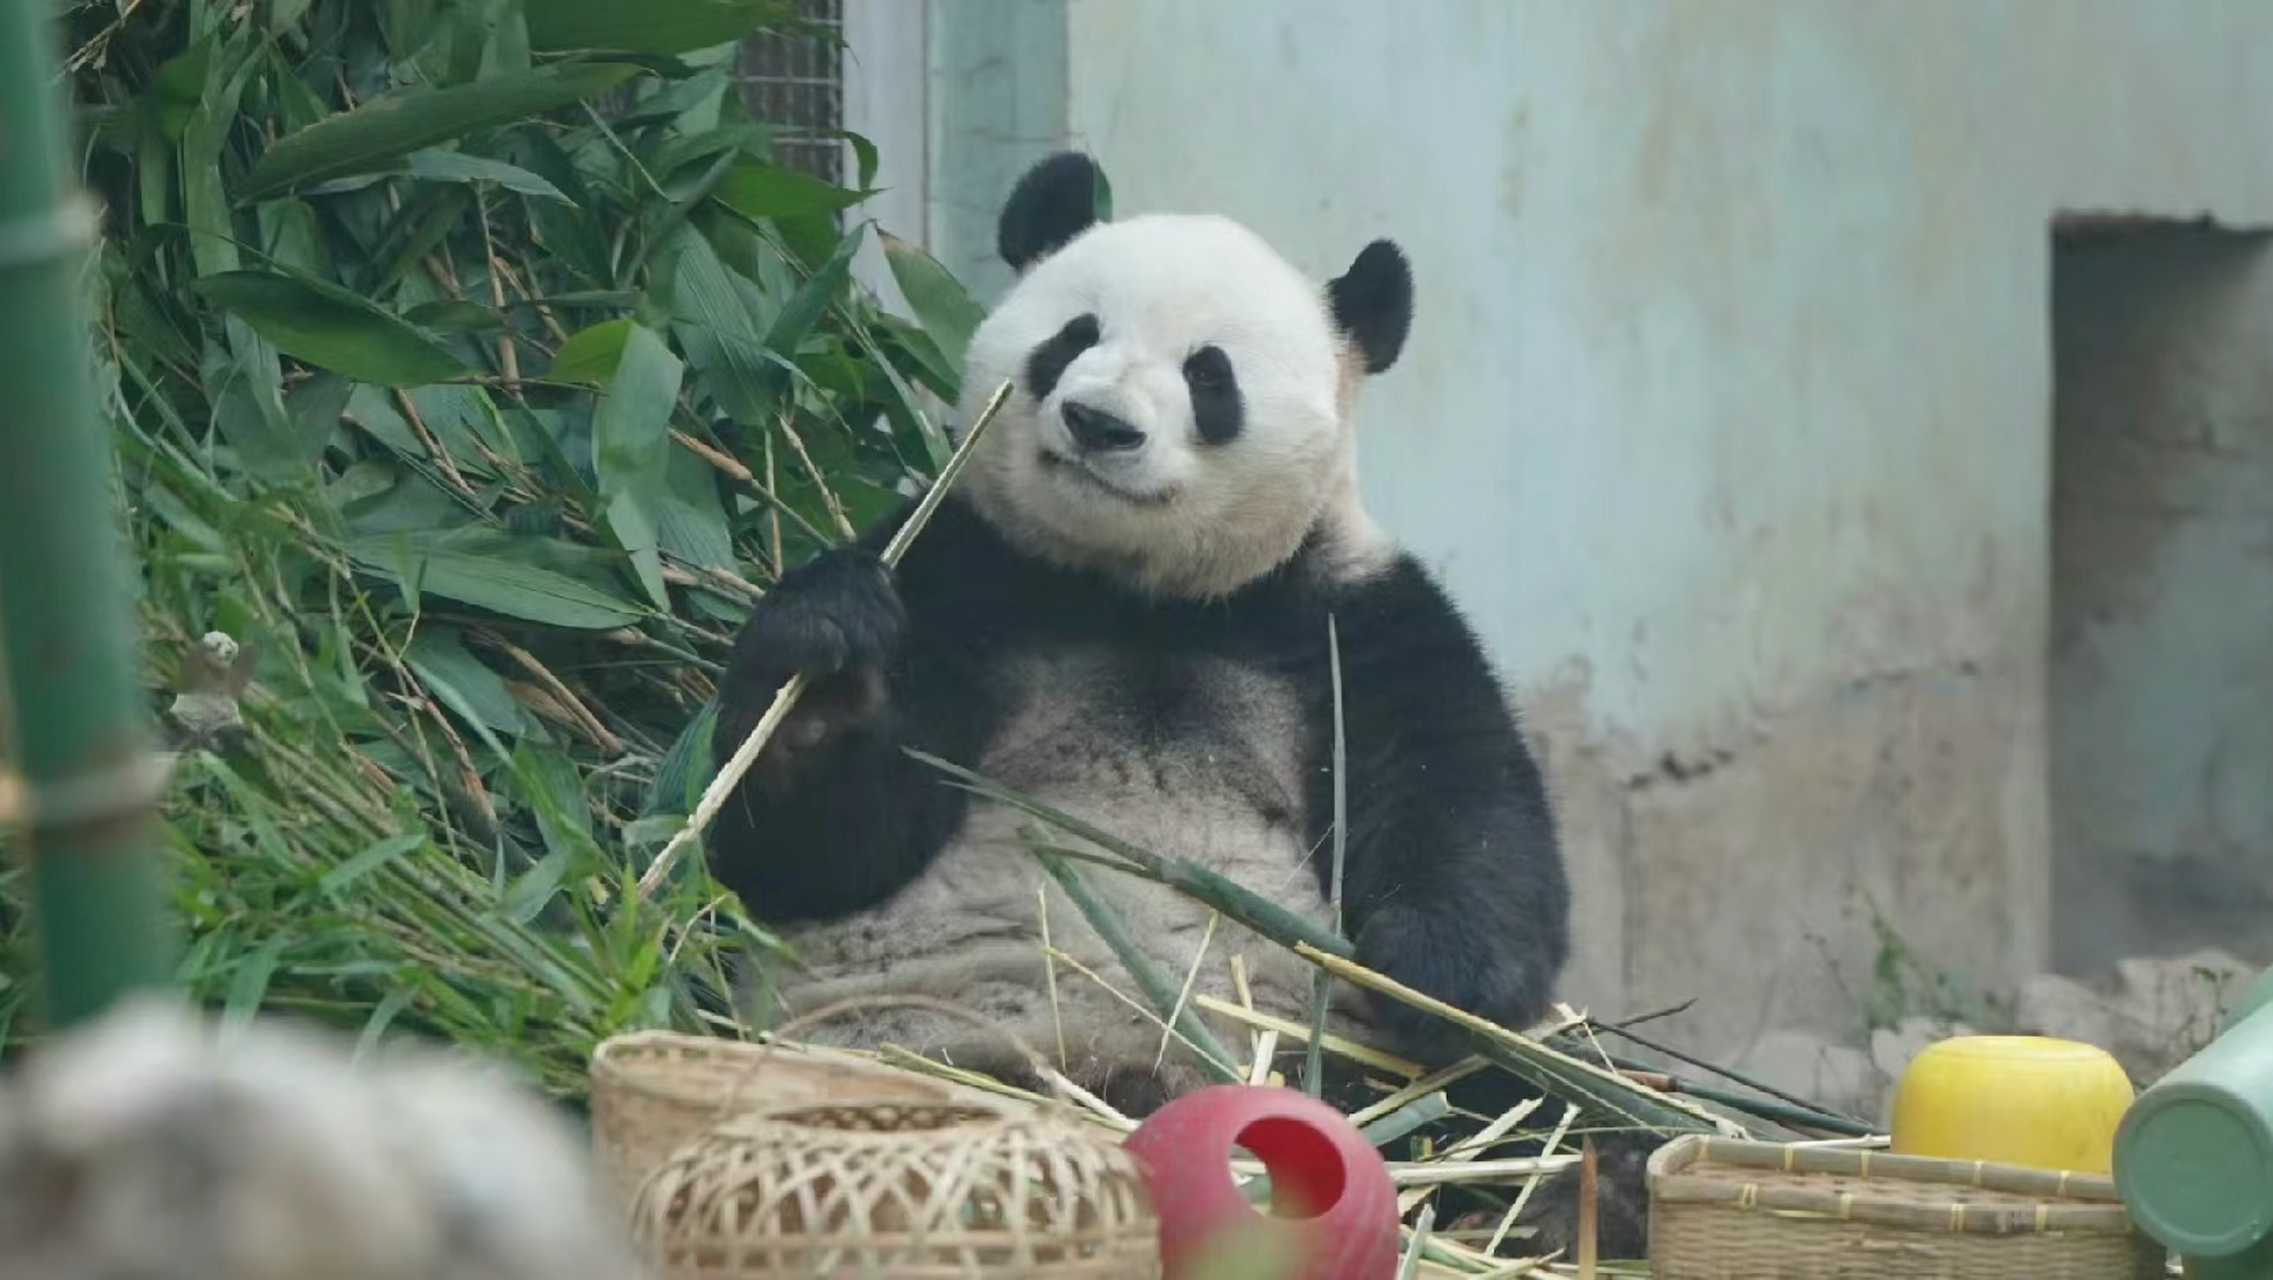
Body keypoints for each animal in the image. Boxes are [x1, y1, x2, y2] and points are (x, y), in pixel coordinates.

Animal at [704, 152, 1654, 1264]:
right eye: (1074, 335)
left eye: (1209, 376)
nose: (1099, 423)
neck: (1136, 593)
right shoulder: (960, 573)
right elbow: (817, 852)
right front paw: (831, 661)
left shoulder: (1348, 623)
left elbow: (1469, 810)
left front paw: (1428, 964)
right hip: (917, 1035)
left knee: (1535, 1099)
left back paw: (1588, 1191)